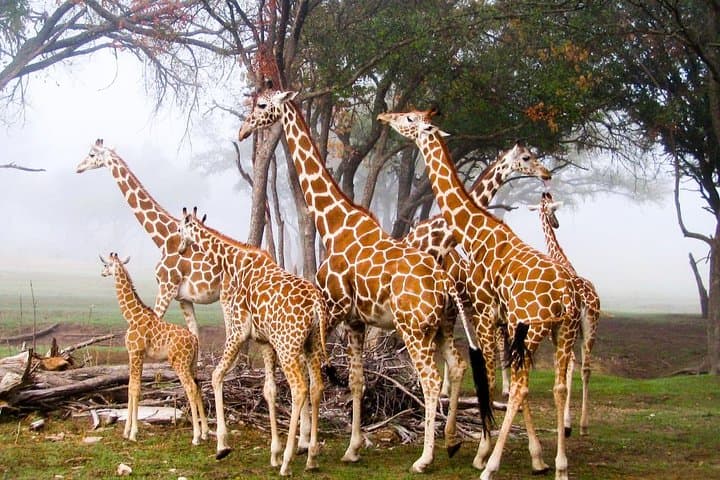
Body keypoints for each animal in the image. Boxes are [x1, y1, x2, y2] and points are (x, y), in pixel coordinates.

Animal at [77, 139, 223, 345]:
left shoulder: (166, 288)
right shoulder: (183, 298)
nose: (78, 168)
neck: (163, 239)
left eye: (91, 154)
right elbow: (195, 333)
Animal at [99, 252, 208, 445]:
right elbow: (131, 387)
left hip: (179, 362)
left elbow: (135, 389)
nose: (102, 273)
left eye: (106, 265)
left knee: (190, 388)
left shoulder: (136, 353)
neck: (131, 316)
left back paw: (195, 437)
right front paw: (126, 432)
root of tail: (194, 340)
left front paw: (133, 433)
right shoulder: (134, 354)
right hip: (192, 364)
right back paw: (205, 433)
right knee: (198, 387)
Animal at [177, 208, 327, 477]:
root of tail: (316, 305)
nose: (181, 249)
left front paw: (222, 445)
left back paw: (288, 462)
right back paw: (311, 457)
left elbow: (216, 375)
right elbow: (270, 390)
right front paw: (274, 453)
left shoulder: (238, 330)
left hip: (288, 346)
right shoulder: (264, 342)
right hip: (311, 345)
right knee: (316, 387)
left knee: (299, 388)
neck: (233, 263)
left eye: (178, 228)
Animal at [237, 86, 468, 473]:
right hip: (443, 326)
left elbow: (314, 375)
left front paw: (306, 445)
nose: (242, 131)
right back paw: (452, 442)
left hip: (414, 330)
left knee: (432, 380)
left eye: (262, 105)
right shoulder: (357, 320)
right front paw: (352, 448)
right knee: (456, 366)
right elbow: (357, 381)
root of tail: (445, 281)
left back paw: (424, 458)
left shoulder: (334, 309)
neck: (333, 223)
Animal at [529, 191, 601, 436]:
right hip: (590, 329)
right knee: (586, 368)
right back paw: (584, 425)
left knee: (572, 365)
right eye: (553, 211)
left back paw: (570, 424)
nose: (557, 223)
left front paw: (565, 423)